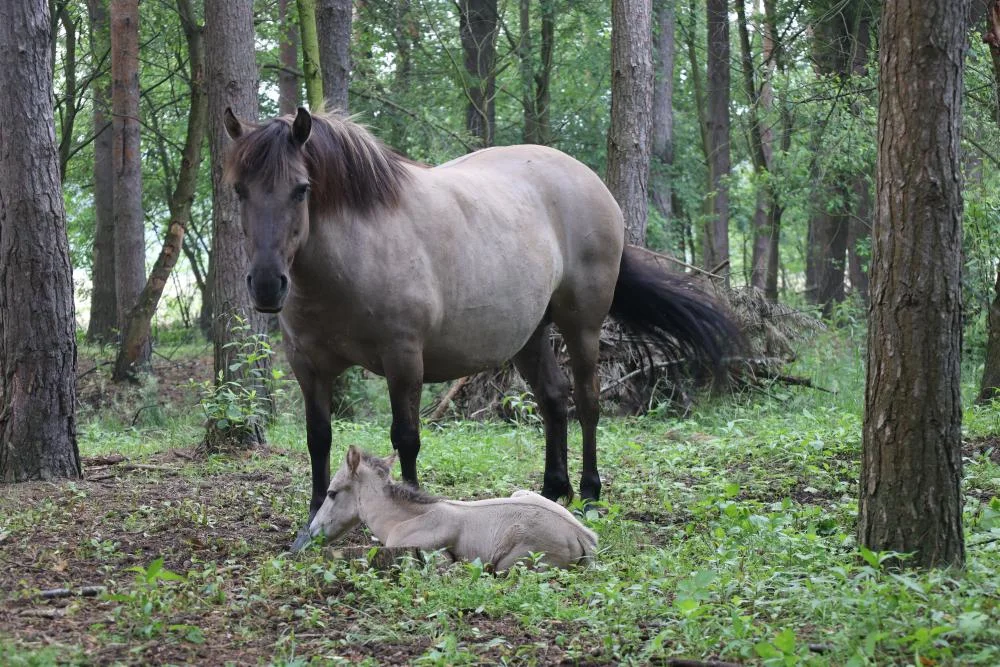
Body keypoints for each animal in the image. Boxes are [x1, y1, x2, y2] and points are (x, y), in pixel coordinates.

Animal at [221, 108, 736, 548]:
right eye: (240, 190)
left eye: (301, 189)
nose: (266, 284)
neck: (354, 250)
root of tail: (590, 182)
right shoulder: (308, 366)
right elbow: (318, 440)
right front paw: (311, 522)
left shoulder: (403, 358)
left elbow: (406, 438)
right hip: (530, 335)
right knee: (553, 399)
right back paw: (553, 491)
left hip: (582, 325)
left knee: (587, 401)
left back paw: (590, 494)